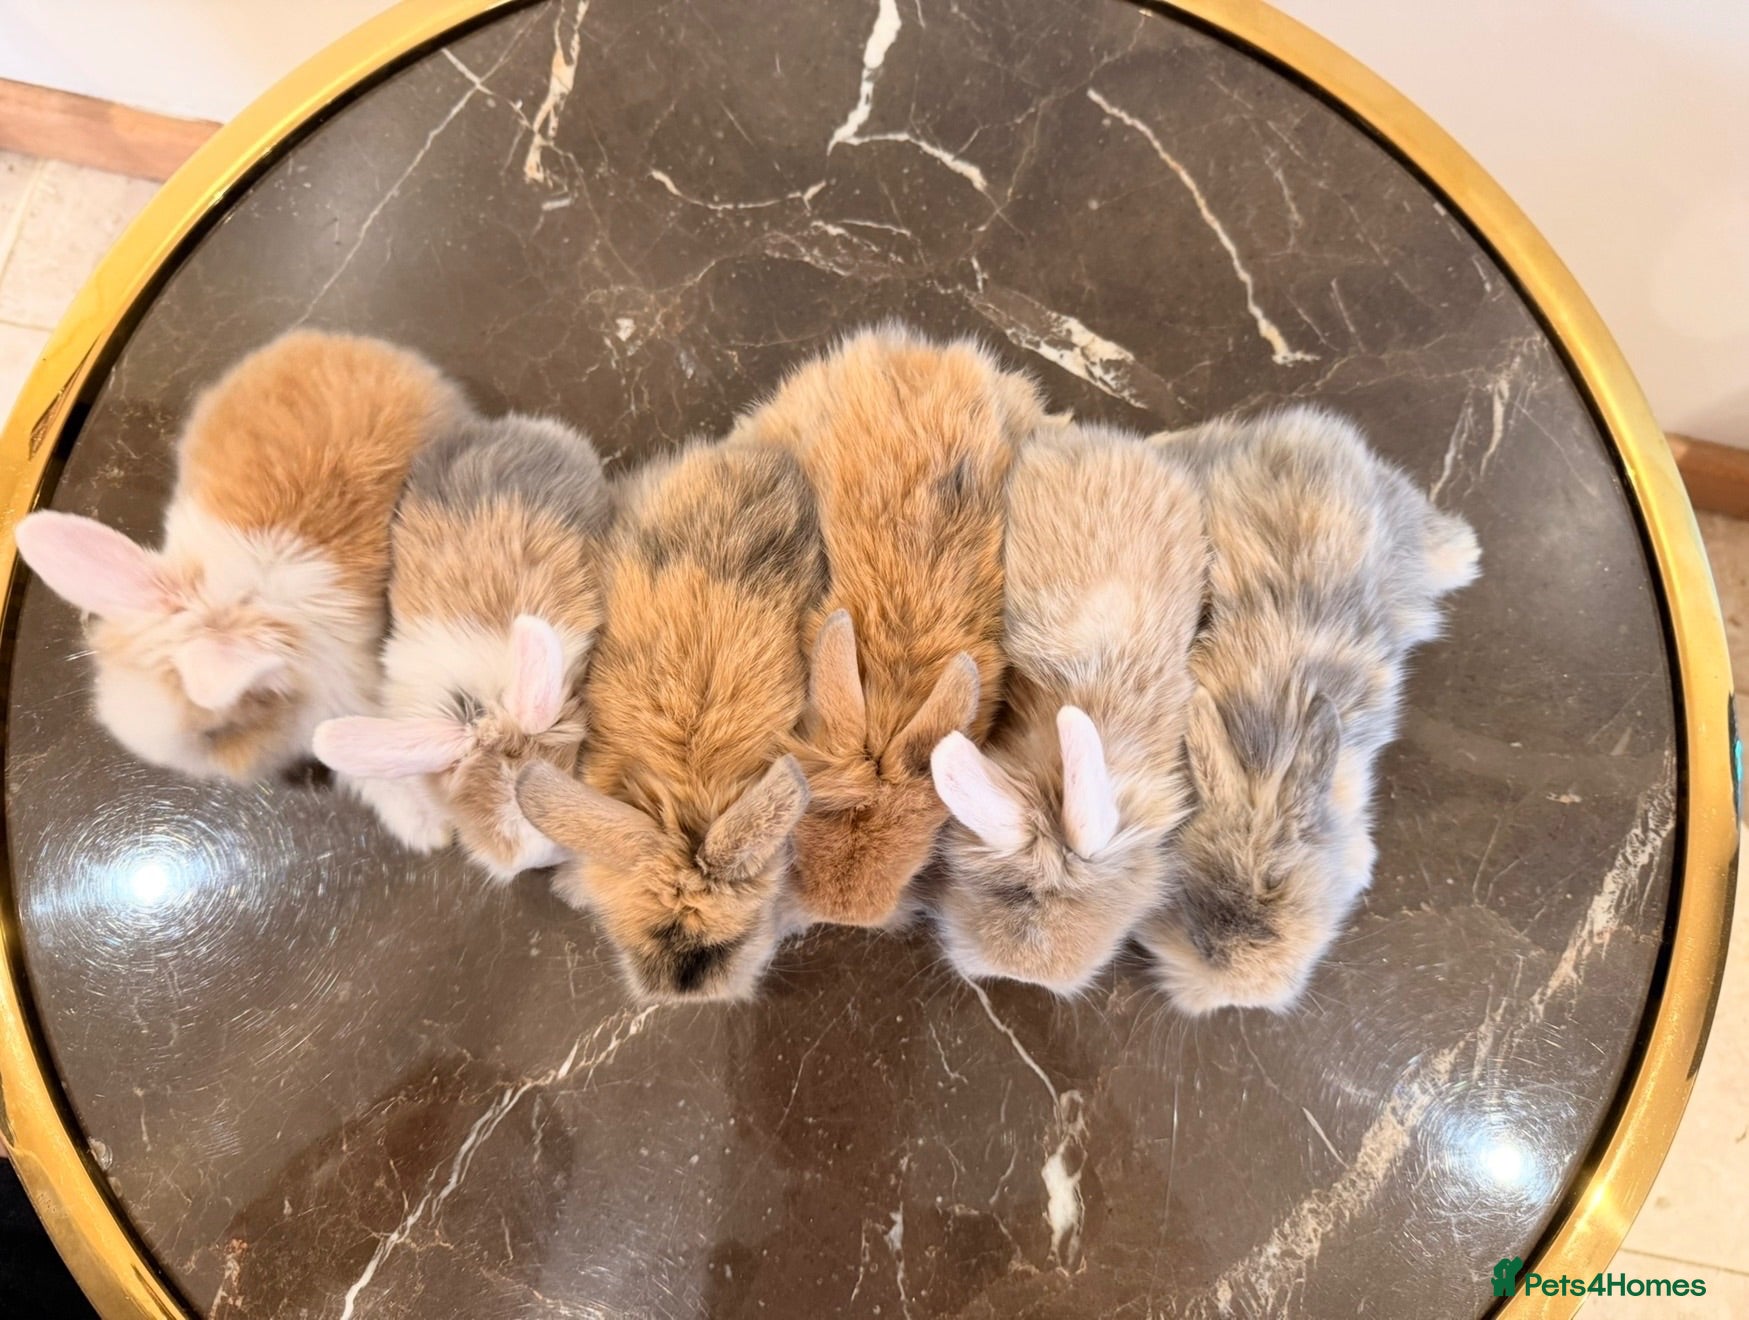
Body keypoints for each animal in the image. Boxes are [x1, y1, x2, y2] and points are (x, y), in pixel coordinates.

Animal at [13, 330, 466, 850]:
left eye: (216, 732)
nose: (227, 774)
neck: (238, 601)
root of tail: (331, 340)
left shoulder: (350, 694)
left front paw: (431, 832)